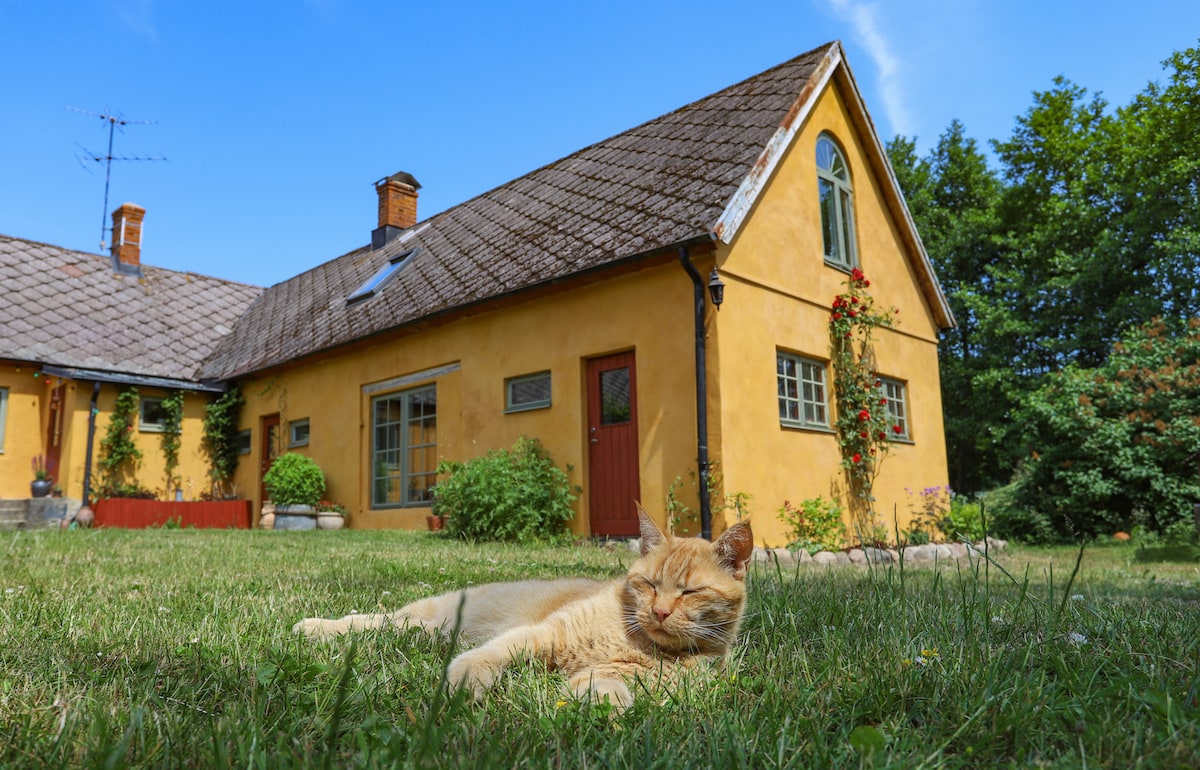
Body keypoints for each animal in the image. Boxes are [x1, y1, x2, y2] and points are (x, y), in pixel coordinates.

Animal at [292, 506, 748, 705]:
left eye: (690, 591)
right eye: (649, 584)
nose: (660, 612)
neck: (636, 639)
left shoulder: (616, 673)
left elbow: (607, 686)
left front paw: (603, 704)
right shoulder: (544, 633)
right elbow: (493, 653)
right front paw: (466, 679)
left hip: (423, 629)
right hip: (429, 616)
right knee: (370, 620)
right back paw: (314, 627)